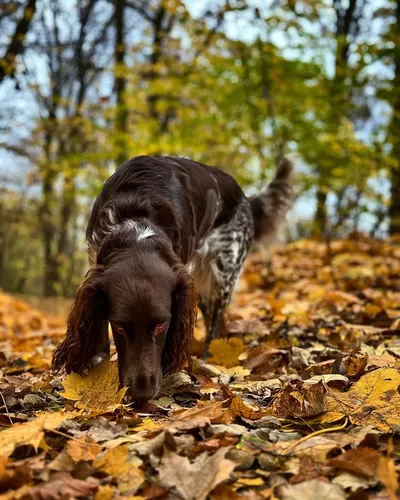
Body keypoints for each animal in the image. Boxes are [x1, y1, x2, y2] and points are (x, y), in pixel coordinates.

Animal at [52, 154, 294, 400]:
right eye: (119, 326)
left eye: (162, 324)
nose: (142, 394)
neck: (137, 226)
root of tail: (243, 195)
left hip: (222, 273)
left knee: (216, 322)